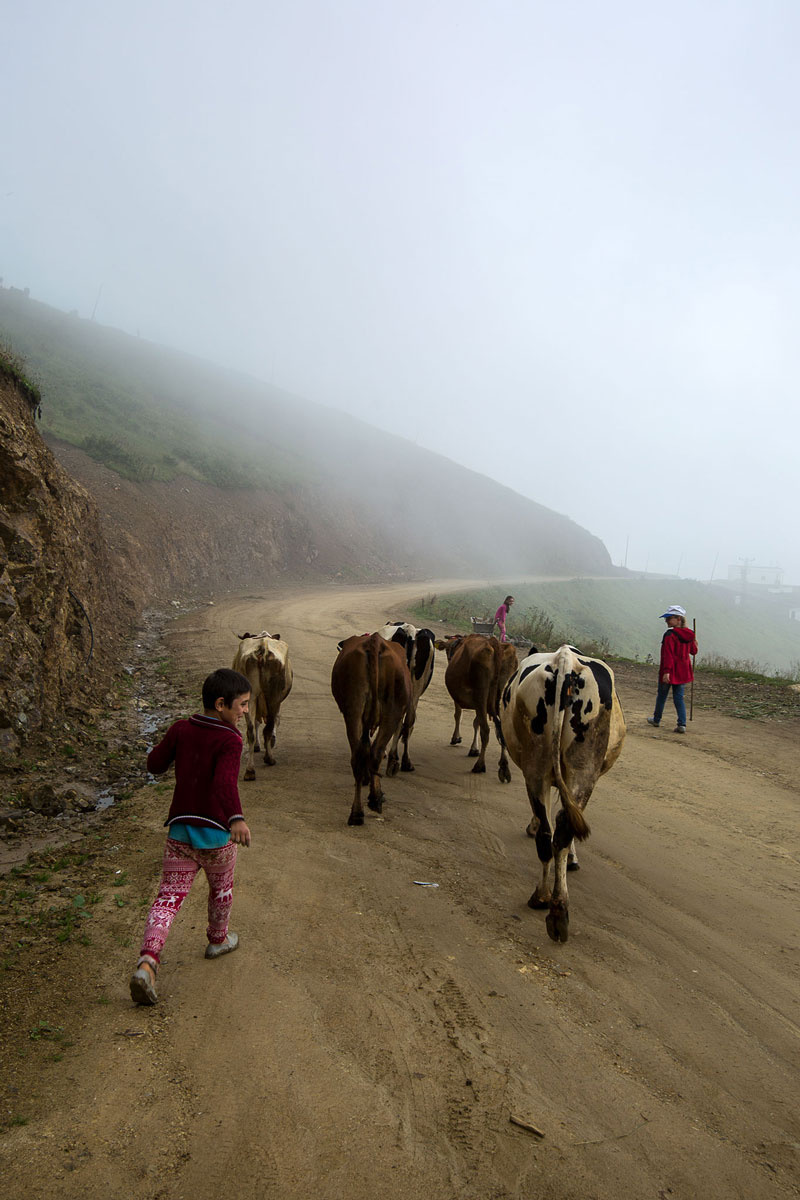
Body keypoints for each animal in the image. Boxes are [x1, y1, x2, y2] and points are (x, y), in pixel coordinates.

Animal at [232, 628, 292, 777]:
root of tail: (263, 646)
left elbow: (257, 722)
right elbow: (276, 719)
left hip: (251, 696)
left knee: (251, 730)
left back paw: (250, 770)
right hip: (273, 696)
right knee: (268, 726)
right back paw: (269, 758)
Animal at [331, 628, 410, 825]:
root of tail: (375, 642)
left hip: (353, 711)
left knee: (359, 756)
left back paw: (356, 813)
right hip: (391, 714)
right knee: (375, 753)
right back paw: (374, 799)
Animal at [376, 619, 434, 777]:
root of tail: (411, 631)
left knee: (398, 720)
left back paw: (391, 759)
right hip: (415, 689)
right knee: (408, 721)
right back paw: (404, 761)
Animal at [438, 633, 520, 782]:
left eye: (447, 650)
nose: (449, 658)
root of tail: (493, 644)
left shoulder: (462, 697)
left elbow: (458, 715)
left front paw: (456, 738)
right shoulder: (479, 703)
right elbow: (476, 722)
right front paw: (474, 749)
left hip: (481, 692)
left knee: (486, 730)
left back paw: (480, 765)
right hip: (501, 694)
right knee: (500, 729)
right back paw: (504, 766)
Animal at [501, 643, 623, 940]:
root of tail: (564, 660)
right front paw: (573, 861)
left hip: (542, 767)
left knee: (553, 831)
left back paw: (553, 907)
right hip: (577, 768)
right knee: (558, 830)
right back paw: (549, 902)